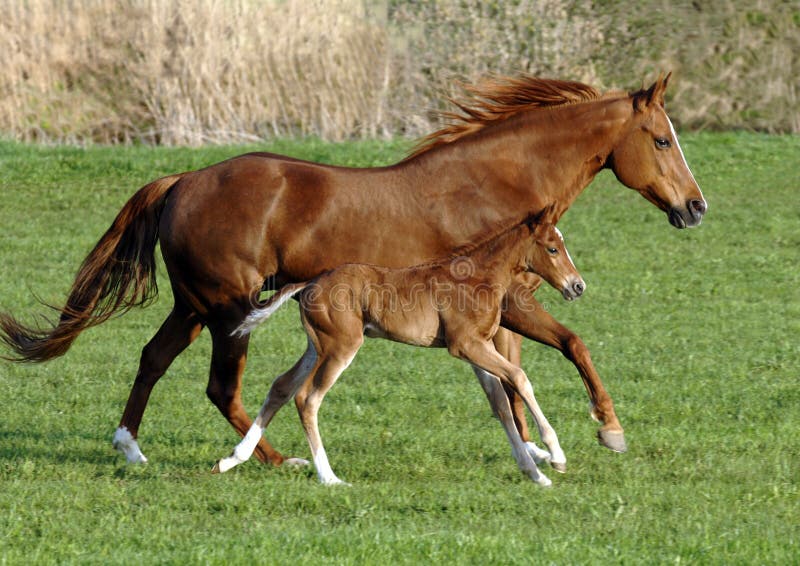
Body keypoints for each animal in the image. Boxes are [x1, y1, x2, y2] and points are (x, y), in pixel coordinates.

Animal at [214, 210, 580, 488]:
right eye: (552, 249)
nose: (577, 286)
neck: (479, 276)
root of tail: (312, 282)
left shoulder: (479, 350)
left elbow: (500, 404)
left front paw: (535, 474)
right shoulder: (465, 345)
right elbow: (519, 377)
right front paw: (556, 456)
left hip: (317, 347)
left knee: (282, 386)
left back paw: (232, 459)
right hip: (341, 347)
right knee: (307, 398)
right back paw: (329, 478)